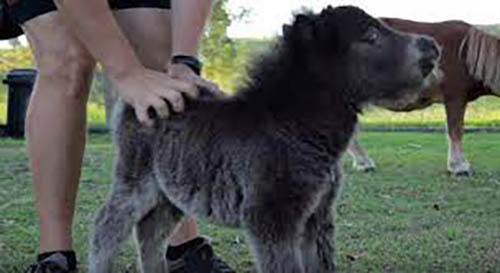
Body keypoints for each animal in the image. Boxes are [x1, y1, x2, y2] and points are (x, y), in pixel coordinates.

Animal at [88, 4, 440, 272]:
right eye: (371, 35)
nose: (432, 45)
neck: (294, 127)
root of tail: (139, 97)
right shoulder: (271, 216)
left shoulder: (317, 216)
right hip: (137, 179)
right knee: (107, 226)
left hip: (170, 191)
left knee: (151, 232)